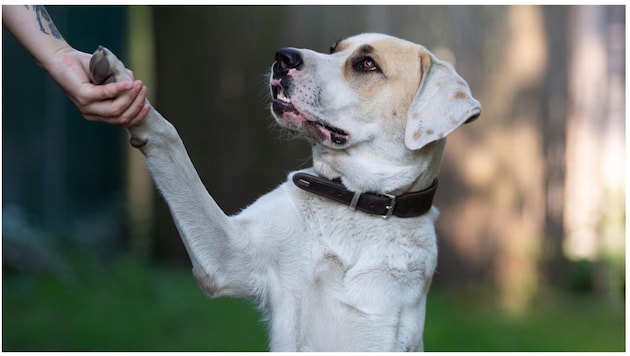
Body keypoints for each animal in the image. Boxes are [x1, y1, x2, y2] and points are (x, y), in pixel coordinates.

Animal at [89, 32, 482, 350]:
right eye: (333, 49)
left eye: (367, 64)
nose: (284, 56)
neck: (353, 205)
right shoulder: (229, 255)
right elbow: (172, 149)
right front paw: (120, 81)